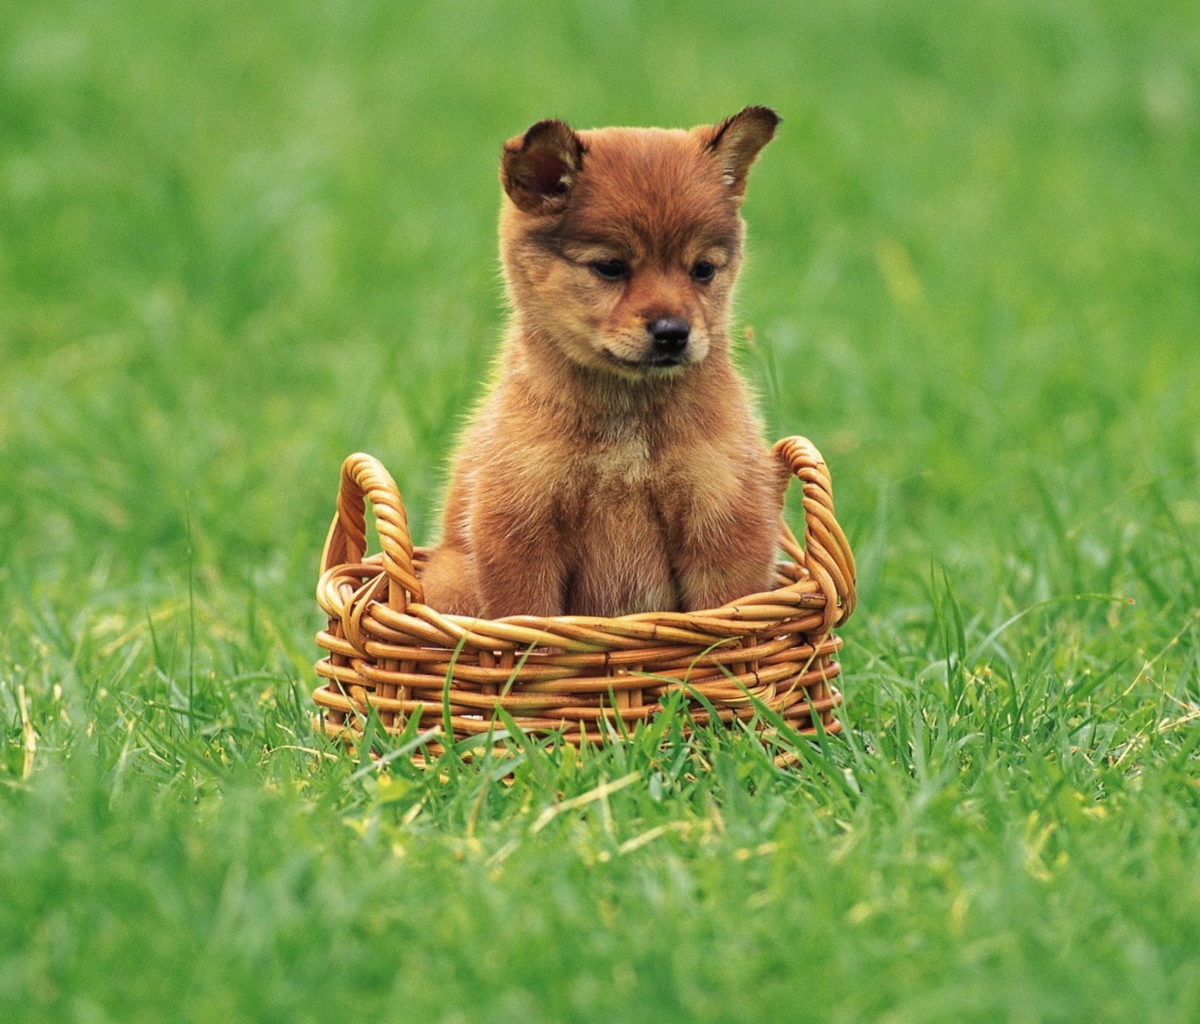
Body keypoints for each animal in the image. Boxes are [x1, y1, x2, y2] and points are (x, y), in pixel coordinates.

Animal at [422, 105, 787, 614]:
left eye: (703, 270)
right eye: (611, 267)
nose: (673, 332)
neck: (625, 422)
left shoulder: (723, 520)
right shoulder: (519, 527)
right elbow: (528, 620)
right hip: (451, 579)